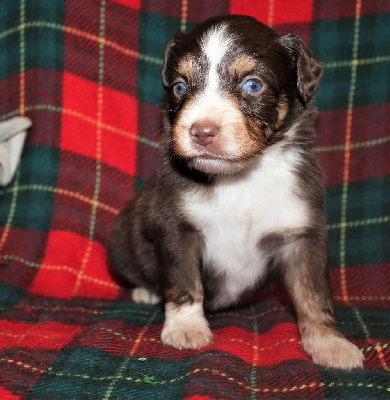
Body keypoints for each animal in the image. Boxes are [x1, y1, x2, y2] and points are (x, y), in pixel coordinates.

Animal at [106, 15, 362, 372]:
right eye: (180, 87)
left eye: (253, 85)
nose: (202, 131)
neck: (241, 177)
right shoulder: (175, 226)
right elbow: (184, 279)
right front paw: (186, 329)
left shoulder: (302, 233)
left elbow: (314, 294)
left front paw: (331, 345)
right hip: (120, 242)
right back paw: (147, 292)